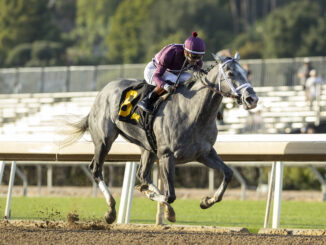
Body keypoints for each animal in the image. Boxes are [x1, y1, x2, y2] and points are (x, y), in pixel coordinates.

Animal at [62, 52, 258, 223]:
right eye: (231, 73)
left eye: (245, 72)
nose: (252, 99)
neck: (193, 113)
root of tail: (102, 92)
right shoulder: (166, 155)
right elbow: (169, 195)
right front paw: (151, 194)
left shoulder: (204, 153)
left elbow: (228, 173)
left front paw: (206, 201)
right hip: (104, 140)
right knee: (96, 169)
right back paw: (111, 210)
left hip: (147, 147)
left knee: (143, 174)